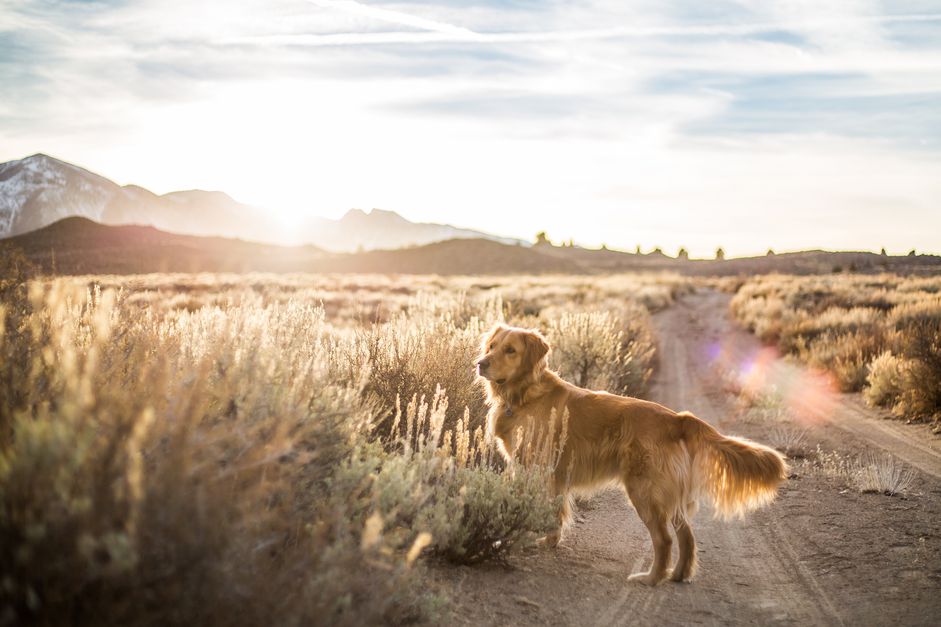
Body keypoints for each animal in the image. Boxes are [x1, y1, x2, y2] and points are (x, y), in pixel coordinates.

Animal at [474, 326, 788, 588]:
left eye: (510, 350)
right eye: (491, 346)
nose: (481, 363)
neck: (524, 393)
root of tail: (678, 419)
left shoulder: (541, 468)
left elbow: (545, 509)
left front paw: (529, 537)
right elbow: (555, 511)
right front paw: (546, 540)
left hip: (644, 490)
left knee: (664, 540)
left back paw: (651, 578)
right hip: (668, 494)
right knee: (686, 536)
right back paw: (678, 574)